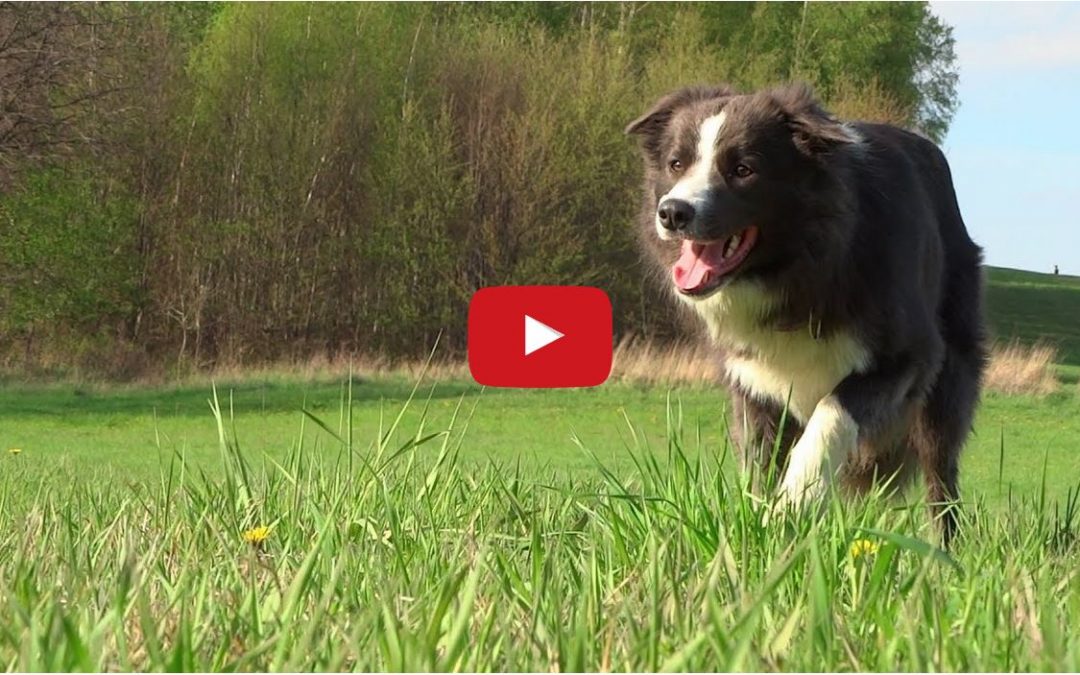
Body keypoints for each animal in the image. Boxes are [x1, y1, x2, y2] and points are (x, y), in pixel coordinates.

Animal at [626, 83, 989, 542]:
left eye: (743, 169)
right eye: (676, 164)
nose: (673, 212)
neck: (801, 268)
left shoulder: (907, 356)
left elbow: (831, 416)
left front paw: (794, 501)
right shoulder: (753, 381)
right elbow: (759, 460)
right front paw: (758, 529)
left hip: (947, 379)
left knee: (939, 472)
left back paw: (942, 549)